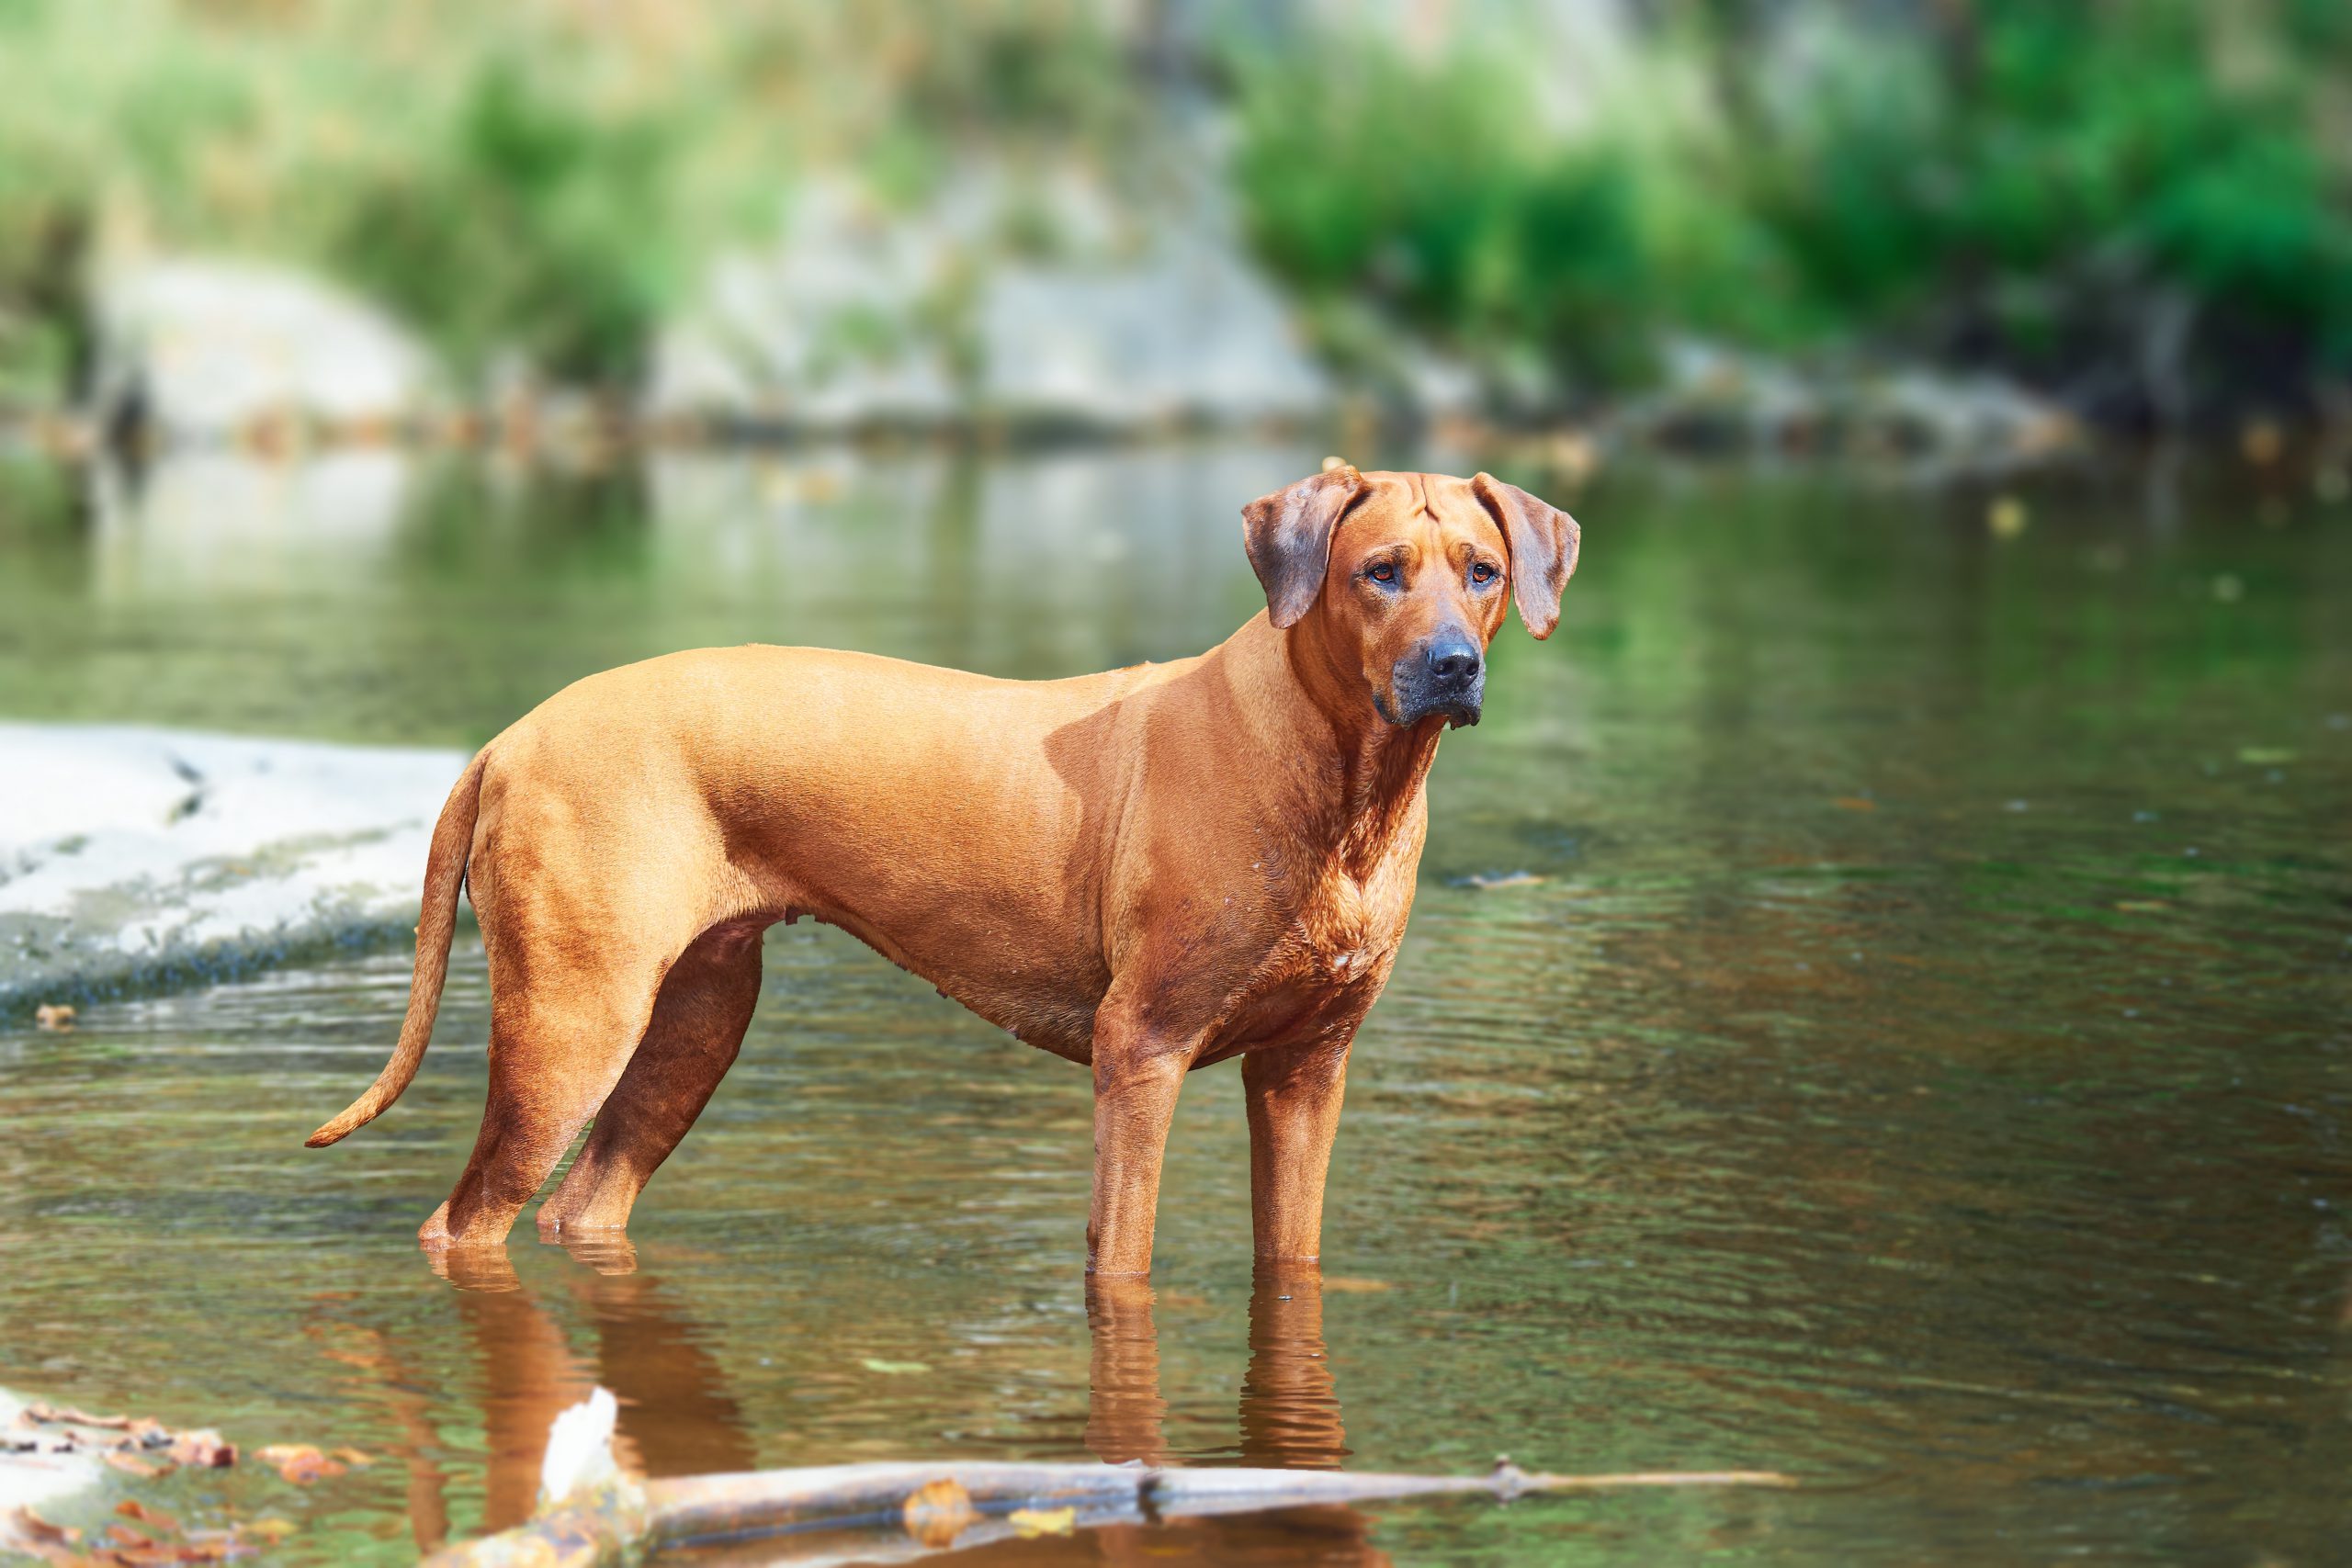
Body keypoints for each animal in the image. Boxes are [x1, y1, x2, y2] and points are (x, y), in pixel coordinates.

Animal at [303, 469, 1571, 1279]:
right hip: (571, 1024)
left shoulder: (1308, 1071)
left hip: (693, 1023)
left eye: (1483, 571)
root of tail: (510, 737)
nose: (1452, 667)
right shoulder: (1141, 1053)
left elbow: (1291, 1255)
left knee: (582, 1207)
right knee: (463, 1225)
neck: (1343, 789)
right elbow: (1122, 1259)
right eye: (1379, 572)